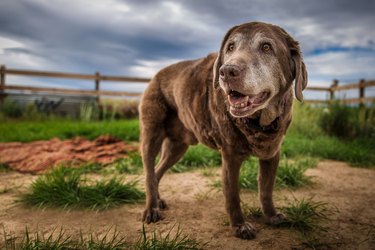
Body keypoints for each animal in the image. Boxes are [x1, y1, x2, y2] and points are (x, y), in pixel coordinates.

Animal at [140, 22, 306, 240]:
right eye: (230, 47)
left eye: (266, 47)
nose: (226, 71)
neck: (259, 123)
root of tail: (156, 75)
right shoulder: (230, 156)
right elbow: (233, 195)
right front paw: (240, 226)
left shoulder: (272, 154)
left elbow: (266, 190)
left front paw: (271, 215)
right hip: (151, 134)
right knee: (149, 171)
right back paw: (151, 208)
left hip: (177, 148)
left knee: (157, 171)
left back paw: (158, 201)